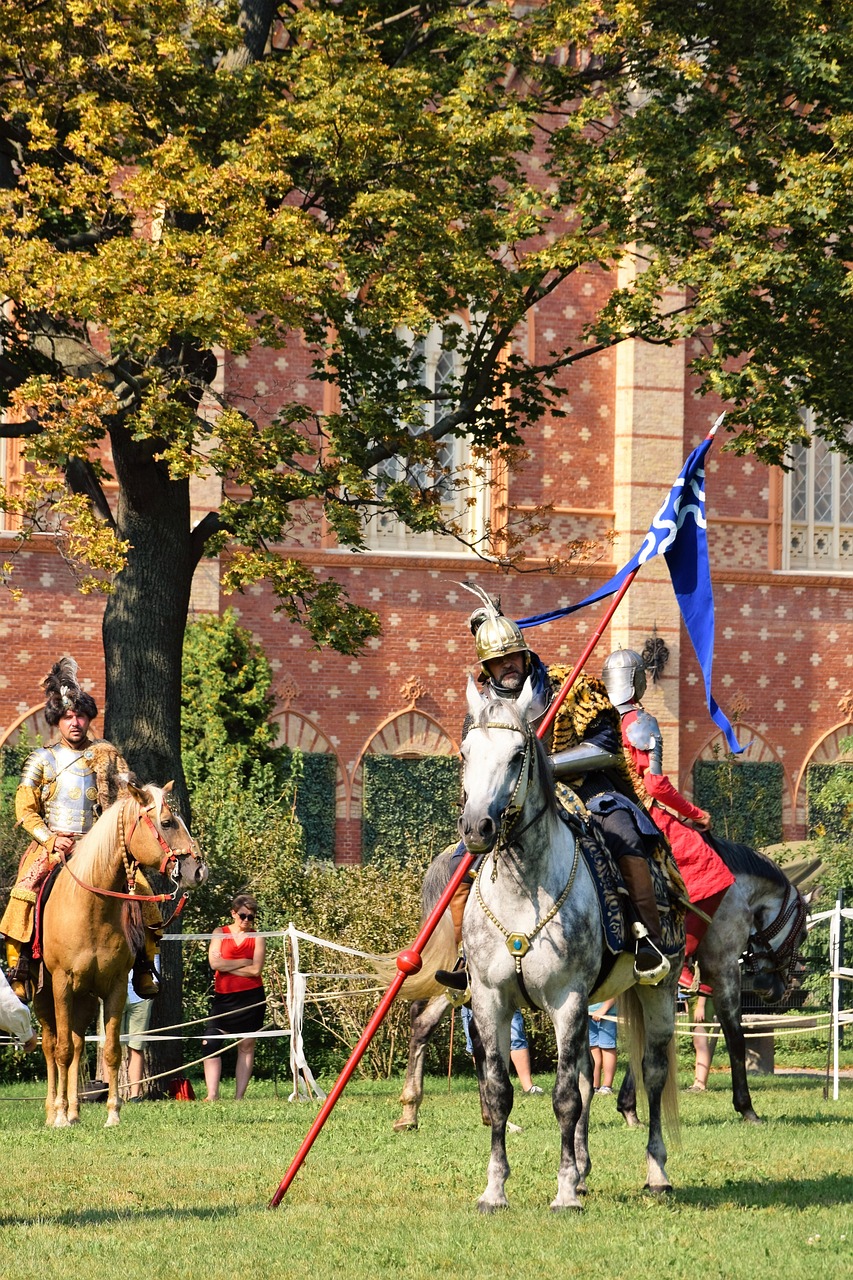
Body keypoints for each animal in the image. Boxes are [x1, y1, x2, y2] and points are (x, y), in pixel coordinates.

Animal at [33, 778, 207, 1131]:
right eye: (167, 822)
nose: (198, 870)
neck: (91, 907)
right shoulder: (60, 985)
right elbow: (60, 1050)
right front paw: (59, 1116)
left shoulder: (113, 987)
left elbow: (111, 1050)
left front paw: (112, 1113)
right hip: (45, 998)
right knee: (51, 1045)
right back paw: (54, 1111)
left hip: (85, 999)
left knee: (77, 1043)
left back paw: (74, 1111)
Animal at [450, 680, 676, 1208]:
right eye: (466, 752)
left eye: (517, 755)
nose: (476, 828)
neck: (522, 890)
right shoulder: (490, 1000)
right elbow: (499, 1093)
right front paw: (495, 1189)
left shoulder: (566, 998)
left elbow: (565, 1098)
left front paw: (564, 1192)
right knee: (590, 1076)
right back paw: (585, 1170)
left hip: (658, 989)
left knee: (652, 1074)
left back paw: (655, 1173)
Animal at [614, 844, 809, 1126]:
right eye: (802, 934)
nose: (777, 990)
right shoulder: (724, 971)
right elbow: (736, 1038)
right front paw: (746, 1107)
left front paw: (629, 1107)